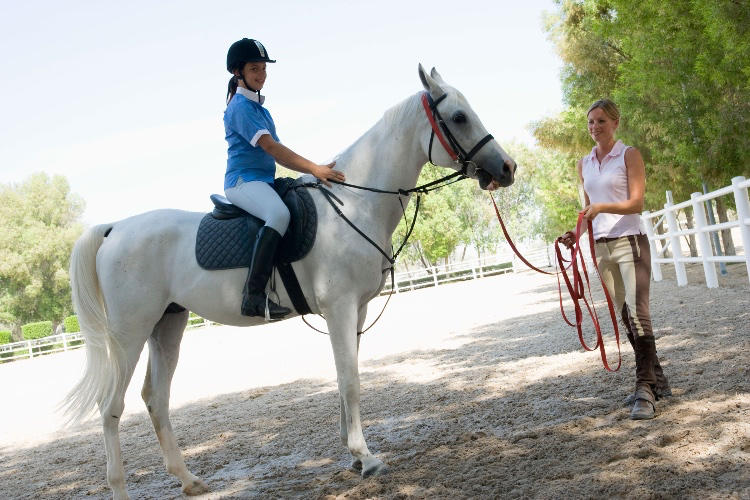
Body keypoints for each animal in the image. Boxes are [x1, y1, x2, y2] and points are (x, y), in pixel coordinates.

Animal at [64, 64, 516, 499]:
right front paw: (366, 457)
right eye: (458, 117)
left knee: (156, 400)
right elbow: (350, 380)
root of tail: (115, 229)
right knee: (111, 406)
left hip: (167, 325)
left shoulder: (356, 309)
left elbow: (345, 375)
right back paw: (120, 488)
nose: (507, 168)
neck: (356, 201)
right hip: (130, 333)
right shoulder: (339, 306)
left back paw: (188, 479)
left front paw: (353, 455)